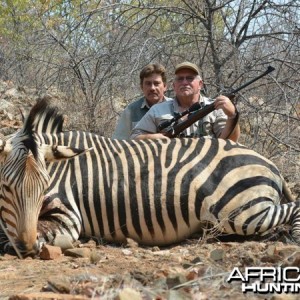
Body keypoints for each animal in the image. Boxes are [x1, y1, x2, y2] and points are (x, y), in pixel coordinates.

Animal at [0, 99, 298, 258]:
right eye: (7, 188)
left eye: (43, 188)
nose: (27, 247)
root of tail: (269, 163)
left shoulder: (69, 218)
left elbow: (11, 236)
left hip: (239, 211)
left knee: (292, 208)